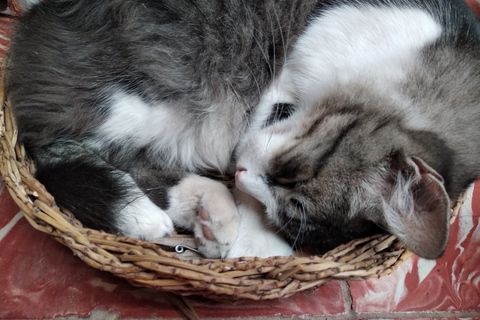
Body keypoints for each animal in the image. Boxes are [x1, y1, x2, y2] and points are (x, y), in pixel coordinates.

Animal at [6, 0, 480, 258]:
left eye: (291, 212)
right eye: (291, 170)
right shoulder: (277, 91)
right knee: (56, 146)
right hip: (142, 99)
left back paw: (206, 213)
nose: (240, 171)